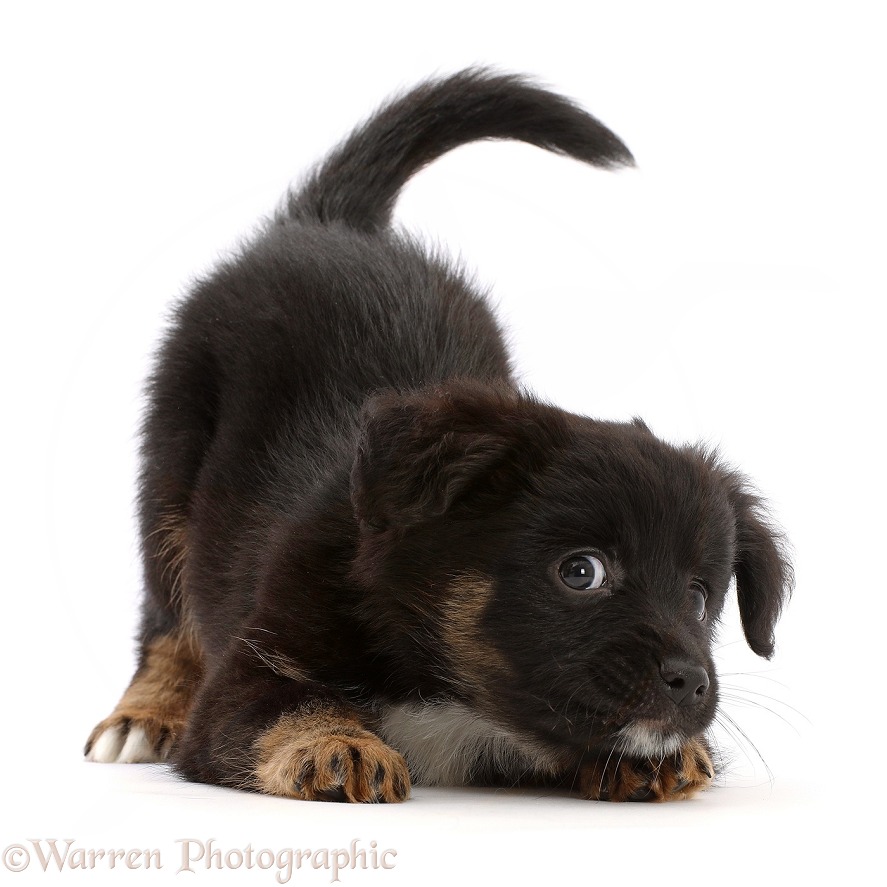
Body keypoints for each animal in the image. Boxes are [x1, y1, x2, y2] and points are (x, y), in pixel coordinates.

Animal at [85, 71, 792, 804]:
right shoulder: (249, 676)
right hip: (169, 468)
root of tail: (328, 220)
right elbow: (287, 707)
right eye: (581, 571)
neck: (452, 689)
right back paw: (142, 716)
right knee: (165, 621)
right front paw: (337, 742)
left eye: (699, 596)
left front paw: (660, 754)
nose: (690, 682)